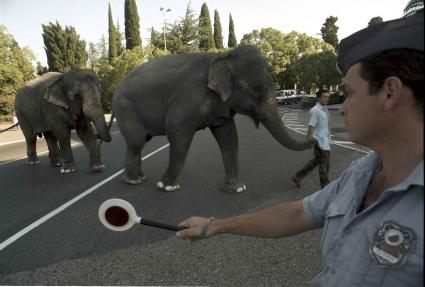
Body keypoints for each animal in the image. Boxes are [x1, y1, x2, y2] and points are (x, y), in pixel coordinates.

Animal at [111, 45, 314, 194]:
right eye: (257, 91)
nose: (311, 132)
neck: (222, 56)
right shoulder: (188, 97)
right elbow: (176, 130)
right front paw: (167, 187)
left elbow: (229, 137)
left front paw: (236, 189)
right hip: (125, 107)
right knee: (137, 140)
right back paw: (134, 181)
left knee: (139, 141)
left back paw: (136, 178)